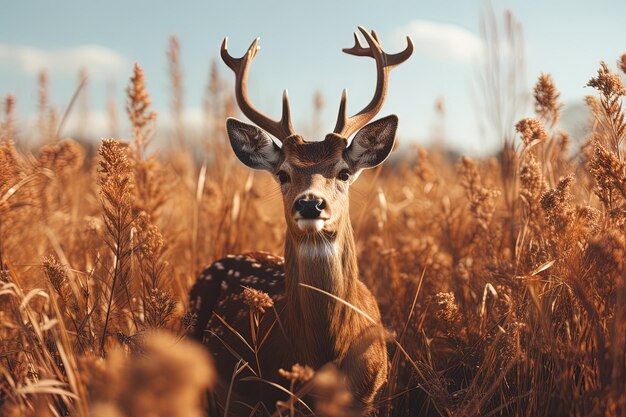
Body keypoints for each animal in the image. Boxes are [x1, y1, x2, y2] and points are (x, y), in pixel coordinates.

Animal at [188, 26, 412, 416]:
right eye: (282, 173)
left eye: (344, 172)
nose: (310, 204)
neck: (324, 353)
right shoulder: (256, 398)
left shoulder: (370, 396)